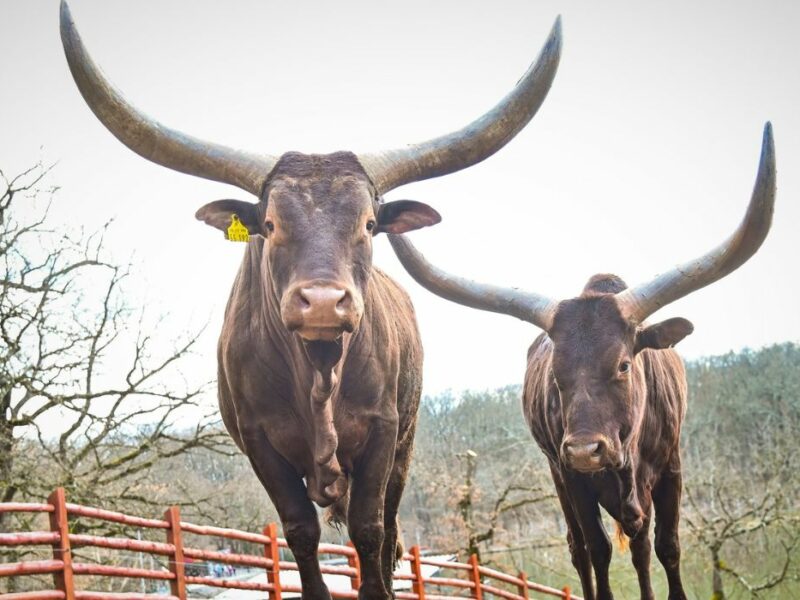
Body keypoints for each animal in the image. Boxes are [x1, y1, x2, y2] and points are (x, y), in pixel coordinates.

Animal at [61, 3, 564, 596]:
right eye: (271, 224)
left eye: (369, 223)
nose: (323, 303)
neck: (320, 370)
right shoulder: (260, 442)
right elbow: (301, 529)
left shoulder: (383, 433)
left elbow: (371, 531)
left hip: (405, 445)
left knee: (387, 530)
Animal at [390, 123, 780, 600]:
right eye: (556, 375)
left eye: (624, 365)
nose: (584, 448)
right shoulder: (573, 477)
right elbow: (597, 550)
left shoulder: (670, 468)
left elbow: (666, 547)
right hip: (561, 476)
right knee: (581, 549)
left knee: (642, 544)